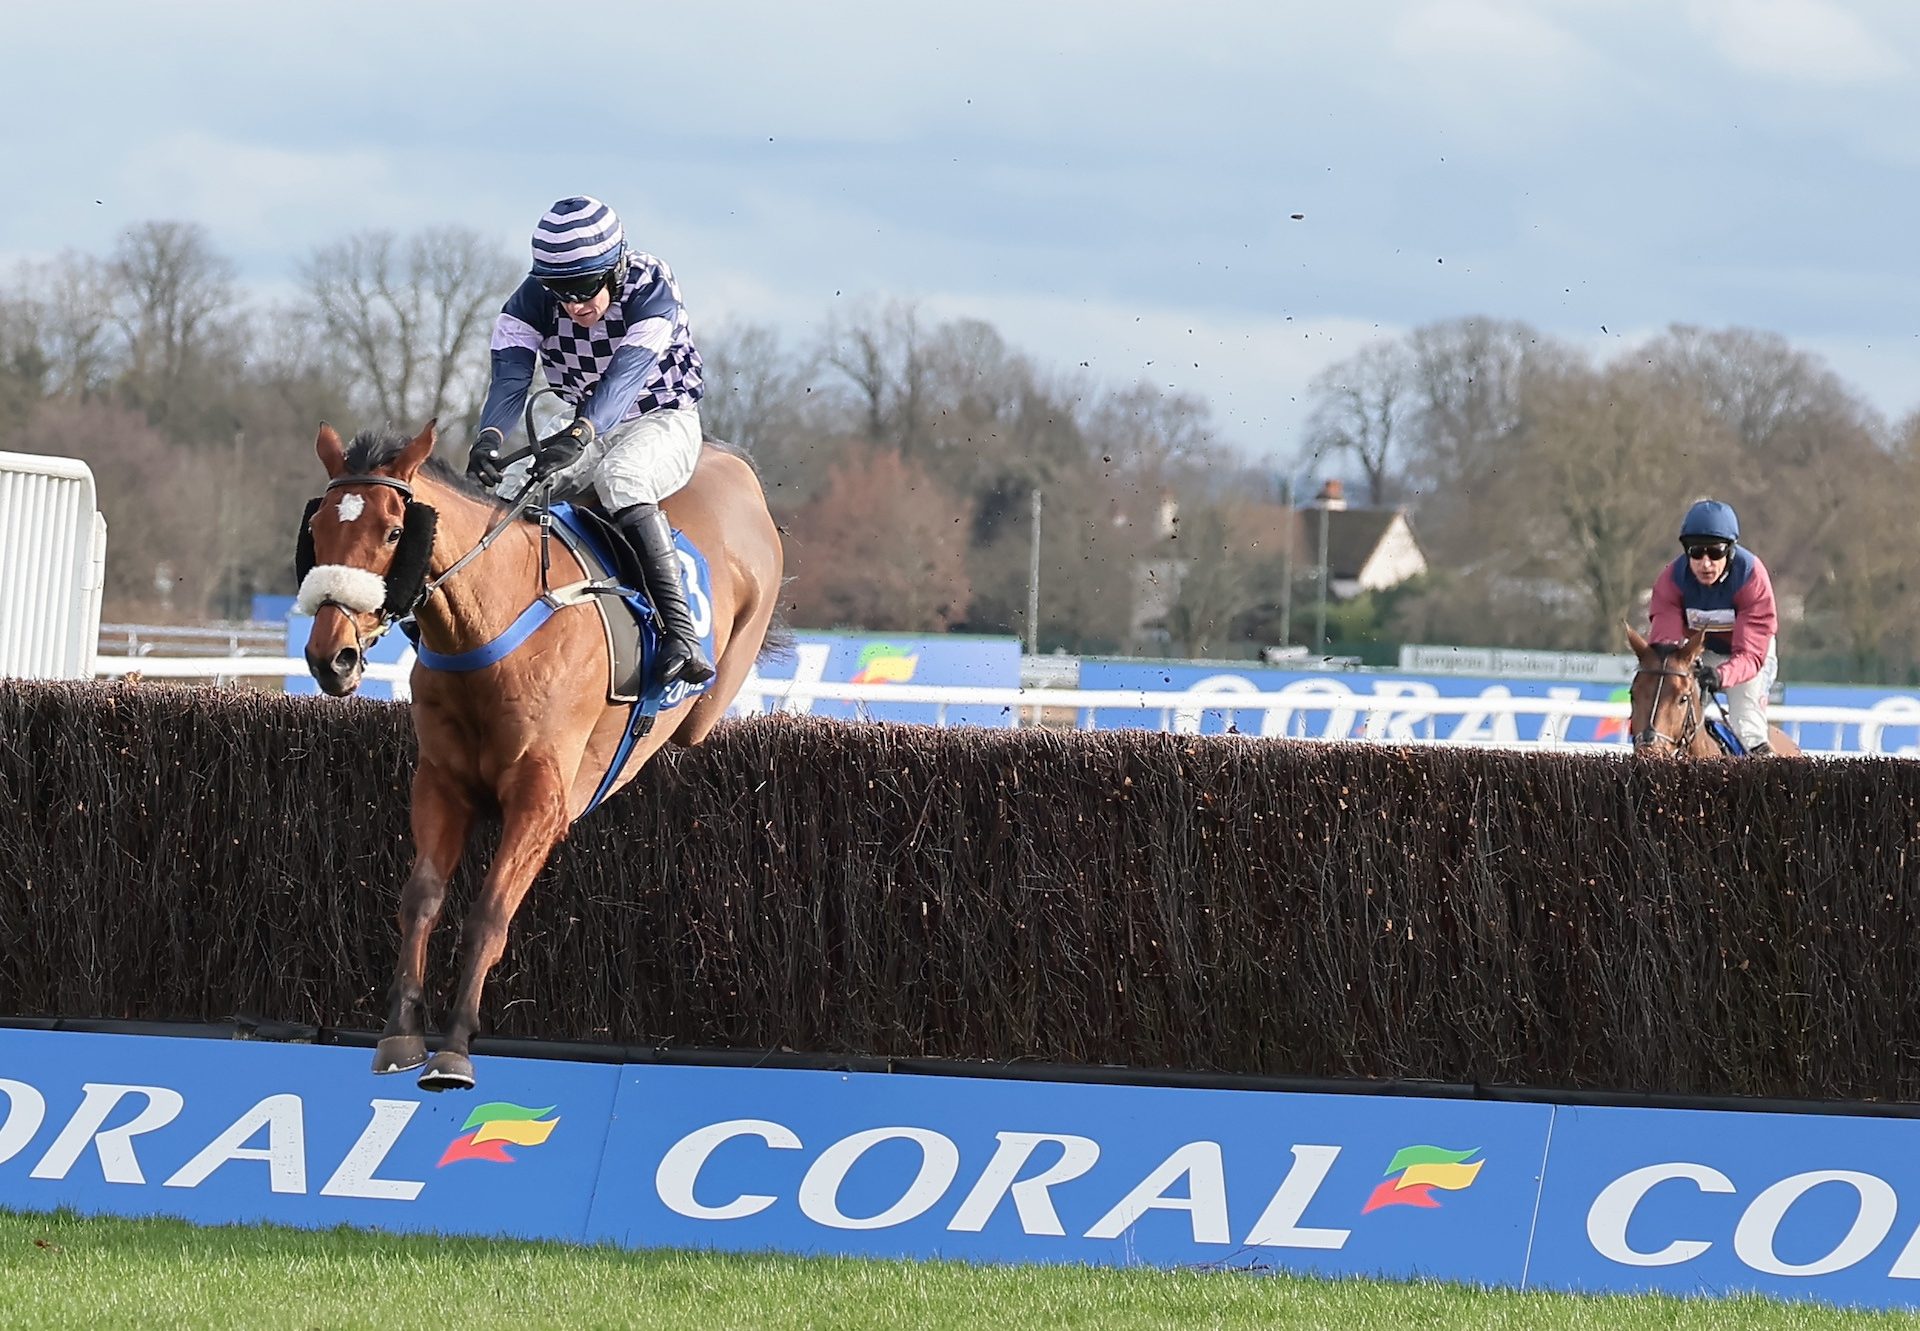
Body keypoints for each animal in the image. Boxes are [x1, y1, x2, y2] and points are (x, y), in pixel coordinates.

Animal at [293, 418, 787, 1090]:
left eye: (395, 531)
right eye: (317, 530)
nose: (331, 657)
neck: (488, 627)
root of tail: (733, 465)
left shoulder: (540, 800)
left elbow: (489, 914)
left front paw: (454, 1047)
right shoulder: (441, 784)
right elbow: (420, 900)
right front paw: (401, 1034)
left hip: (711, 695)